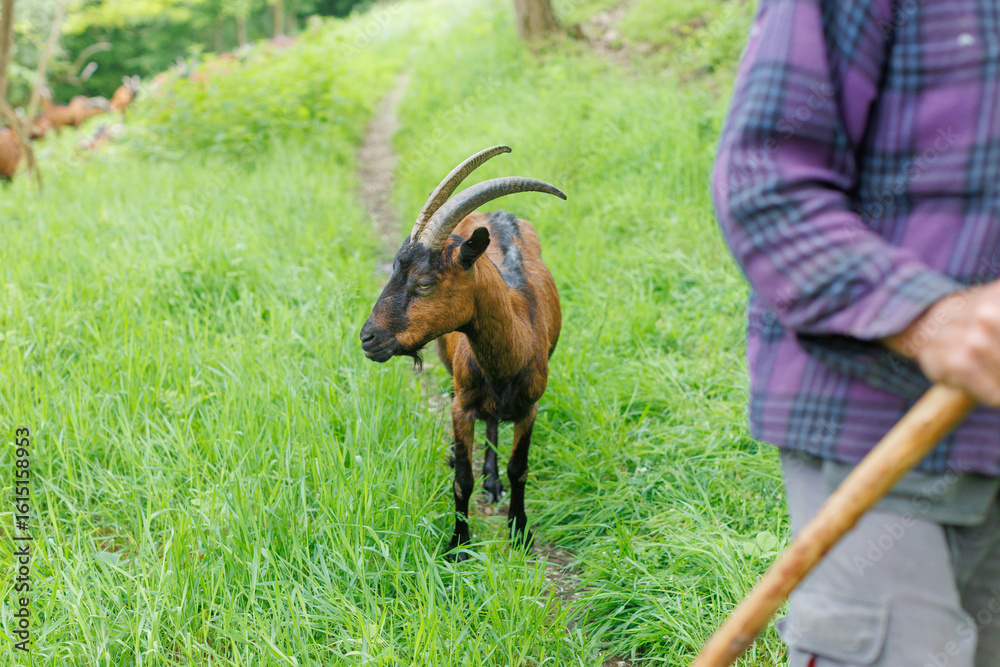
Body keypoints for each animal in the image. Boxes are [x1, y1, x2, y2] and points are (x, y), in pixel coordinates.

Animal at [360, 146, 565, 560]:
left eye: (424, 283)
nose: (368, 338)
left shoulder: (530, 406)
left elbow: (519, 469)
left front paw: (519, 531)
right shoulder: (462, 406)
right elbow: (462, 479)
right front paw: (458, 544)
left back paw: (494, 481)